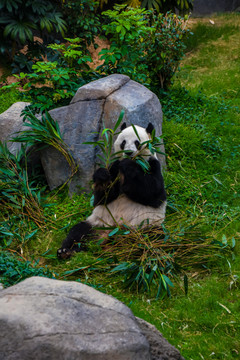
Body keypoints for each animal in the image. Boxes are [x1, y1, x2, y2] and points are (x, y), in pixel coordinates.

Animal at [57, 121, 167, 258]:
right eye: (123, 142)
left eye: (137, 142)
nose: (128, 152)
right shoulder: (114, 168)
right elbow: (101, 199)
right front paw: (102, 176)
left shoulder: (151, 164)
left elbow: (153, 193)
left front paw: (129, 166)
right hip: (99, 223)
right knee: (79, 231)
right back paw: (66, 251)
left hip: (146, 225)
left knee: (153, 238)